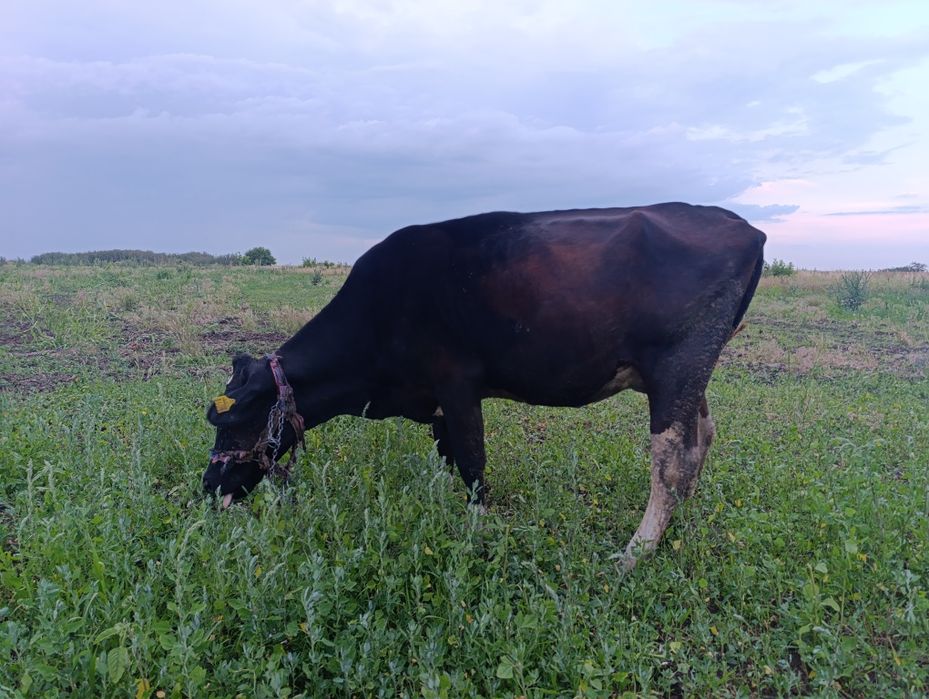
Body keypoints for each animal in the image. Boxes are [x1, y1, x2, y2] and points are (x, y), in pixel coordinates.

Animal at [203, 203, 765, 568]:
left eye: (235, 420)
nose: (209, 489)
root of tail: (742, 226)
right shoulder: (435, 401)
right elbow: (448, 455)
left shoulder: (457, 383)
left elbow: (473, 463)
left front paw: (477, 529)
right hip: (688, 378)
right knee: (701, 442)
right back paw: (677, 527)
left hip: (676, 368)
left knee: (670, 463)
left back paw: (634, 553)